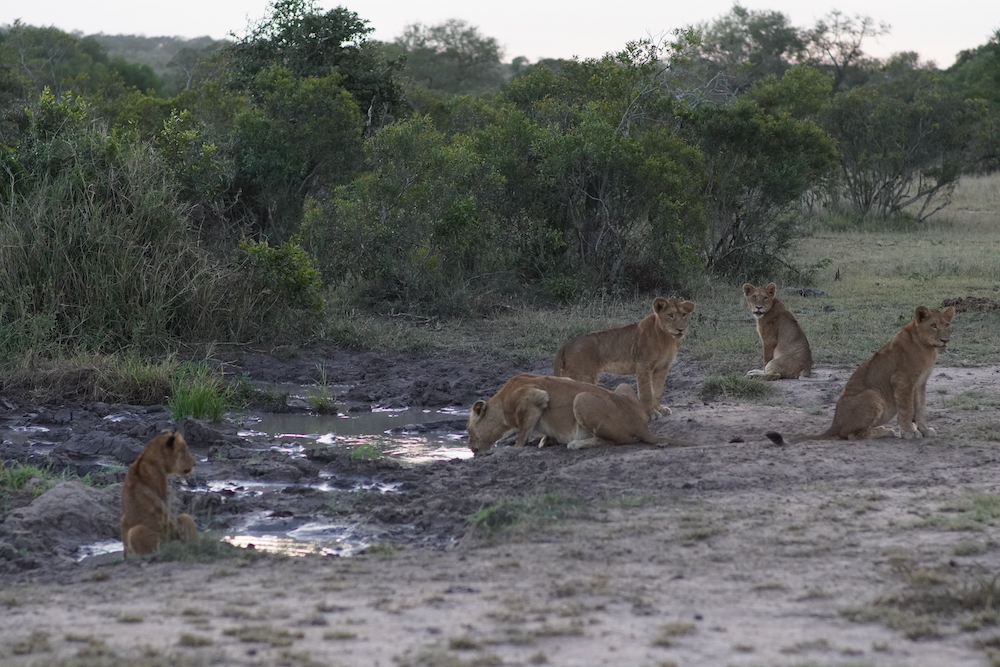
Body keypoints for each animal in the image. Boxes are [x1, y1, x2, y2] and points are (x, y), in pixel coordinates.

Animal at [464, 374, 692, 456]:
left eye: (468, 430)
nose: (469, 448)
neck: (501, 400)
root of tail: (639, 424)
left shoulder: (534, 397)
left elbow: (523, 430)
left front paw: (514, 447)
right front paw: (546, 440)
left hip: (581, 398)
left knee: (618, 440)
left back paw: (577, 444)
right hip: (623, 386)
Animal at [548, 298, 696, 418]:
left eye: (684, 315)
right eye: (670, 315)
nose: (681, 329)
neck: (667, 339)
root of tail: (566, 345)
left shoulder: (662, 367)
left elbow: (657, 391)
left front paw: (659, 409)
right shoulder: (643, 366)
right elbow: (646, 392)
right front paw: (651, 413)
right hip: (584, 377)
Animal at [768, 306, 956, 446]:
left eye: (947, 324)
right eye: (933, 325)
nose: (945, 341)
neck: (927, 348)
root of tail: (835, 424)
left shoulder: (920, 384)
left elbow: (920, 408)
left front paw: (924, 430)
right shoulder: (902, 381)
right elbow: (907, 409)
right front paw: (909, 433)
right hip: (873, 394)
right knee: (851, 435)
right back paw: (885, 431)